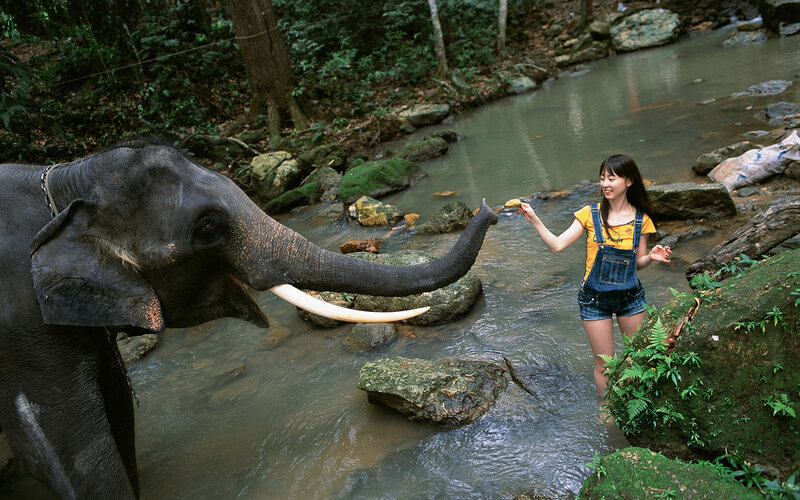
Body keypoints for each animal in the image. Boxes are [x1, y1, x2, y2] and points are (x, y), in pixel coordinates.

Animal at [0, 139, 497, 498]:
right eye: (208, 227)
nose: (492, 209)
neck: (66, 180)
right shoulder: (22, 323)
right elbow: (68, 445)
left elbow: (118, 411)